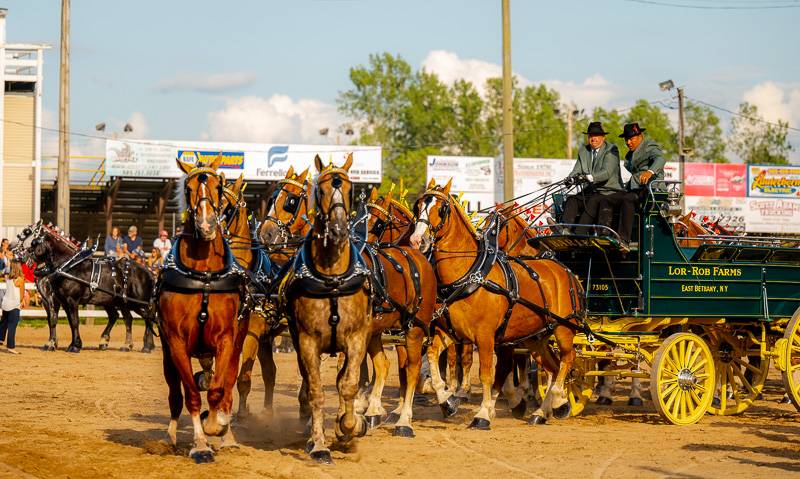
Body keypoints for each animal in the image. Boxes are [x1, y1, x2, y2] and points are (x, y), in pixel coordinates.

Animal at [14, 223, 157, 354]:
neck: (68, 266)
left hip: (137, 302)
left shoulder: (67, 300)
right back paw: (122, 344)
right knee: (125, 318)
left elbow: (71, 321)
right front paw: (57, 344)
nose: (16, 253)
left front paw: (72, 346)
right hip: (118, 302)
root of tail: (148, 271)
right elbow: (60, 321)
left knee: (147, 317)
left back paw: (145, 345)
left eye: (27, 234)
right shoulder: (59, 301)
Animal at [155, 158, 244, 464]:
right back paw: (169, 437)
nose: (206, 224)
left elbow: (217, 391)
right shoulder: (177, 342)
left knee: (224, 388)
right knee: (176, 394)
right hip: (169, 354)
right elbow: (192, 396)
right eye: (189, 187)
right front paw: (201, 444)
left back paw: (227, 435)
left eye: (218, 186)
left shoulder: (227, 339)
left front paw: (216, 425)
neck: (204, 276)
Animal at [278, 155, 372, 464]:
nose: (339, 229)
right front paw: (319, 444)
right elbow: (317, 390)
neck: (332, 279)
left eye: (351, 189)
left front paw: (350, 427)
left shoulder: (356, 338)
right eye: (320, 190)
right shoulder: (307, 341)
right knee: (309, 382)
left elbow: (349, 384)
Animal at [410, 180, 584, 428]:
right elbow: (433, 357)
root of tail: (566, 271)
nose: (417, 240)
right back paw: (542, 412)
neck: (470, 274)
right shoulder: (451, 332)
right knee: (553, 365)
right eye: (418, 207)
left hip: (564, 328)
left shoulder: (485, 337)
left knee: (568, 359)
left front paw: (483, 413)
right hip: (536, 337)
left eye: (441, 209)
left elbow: (487, 374)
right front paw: (446, 401)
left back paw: (560, 398)